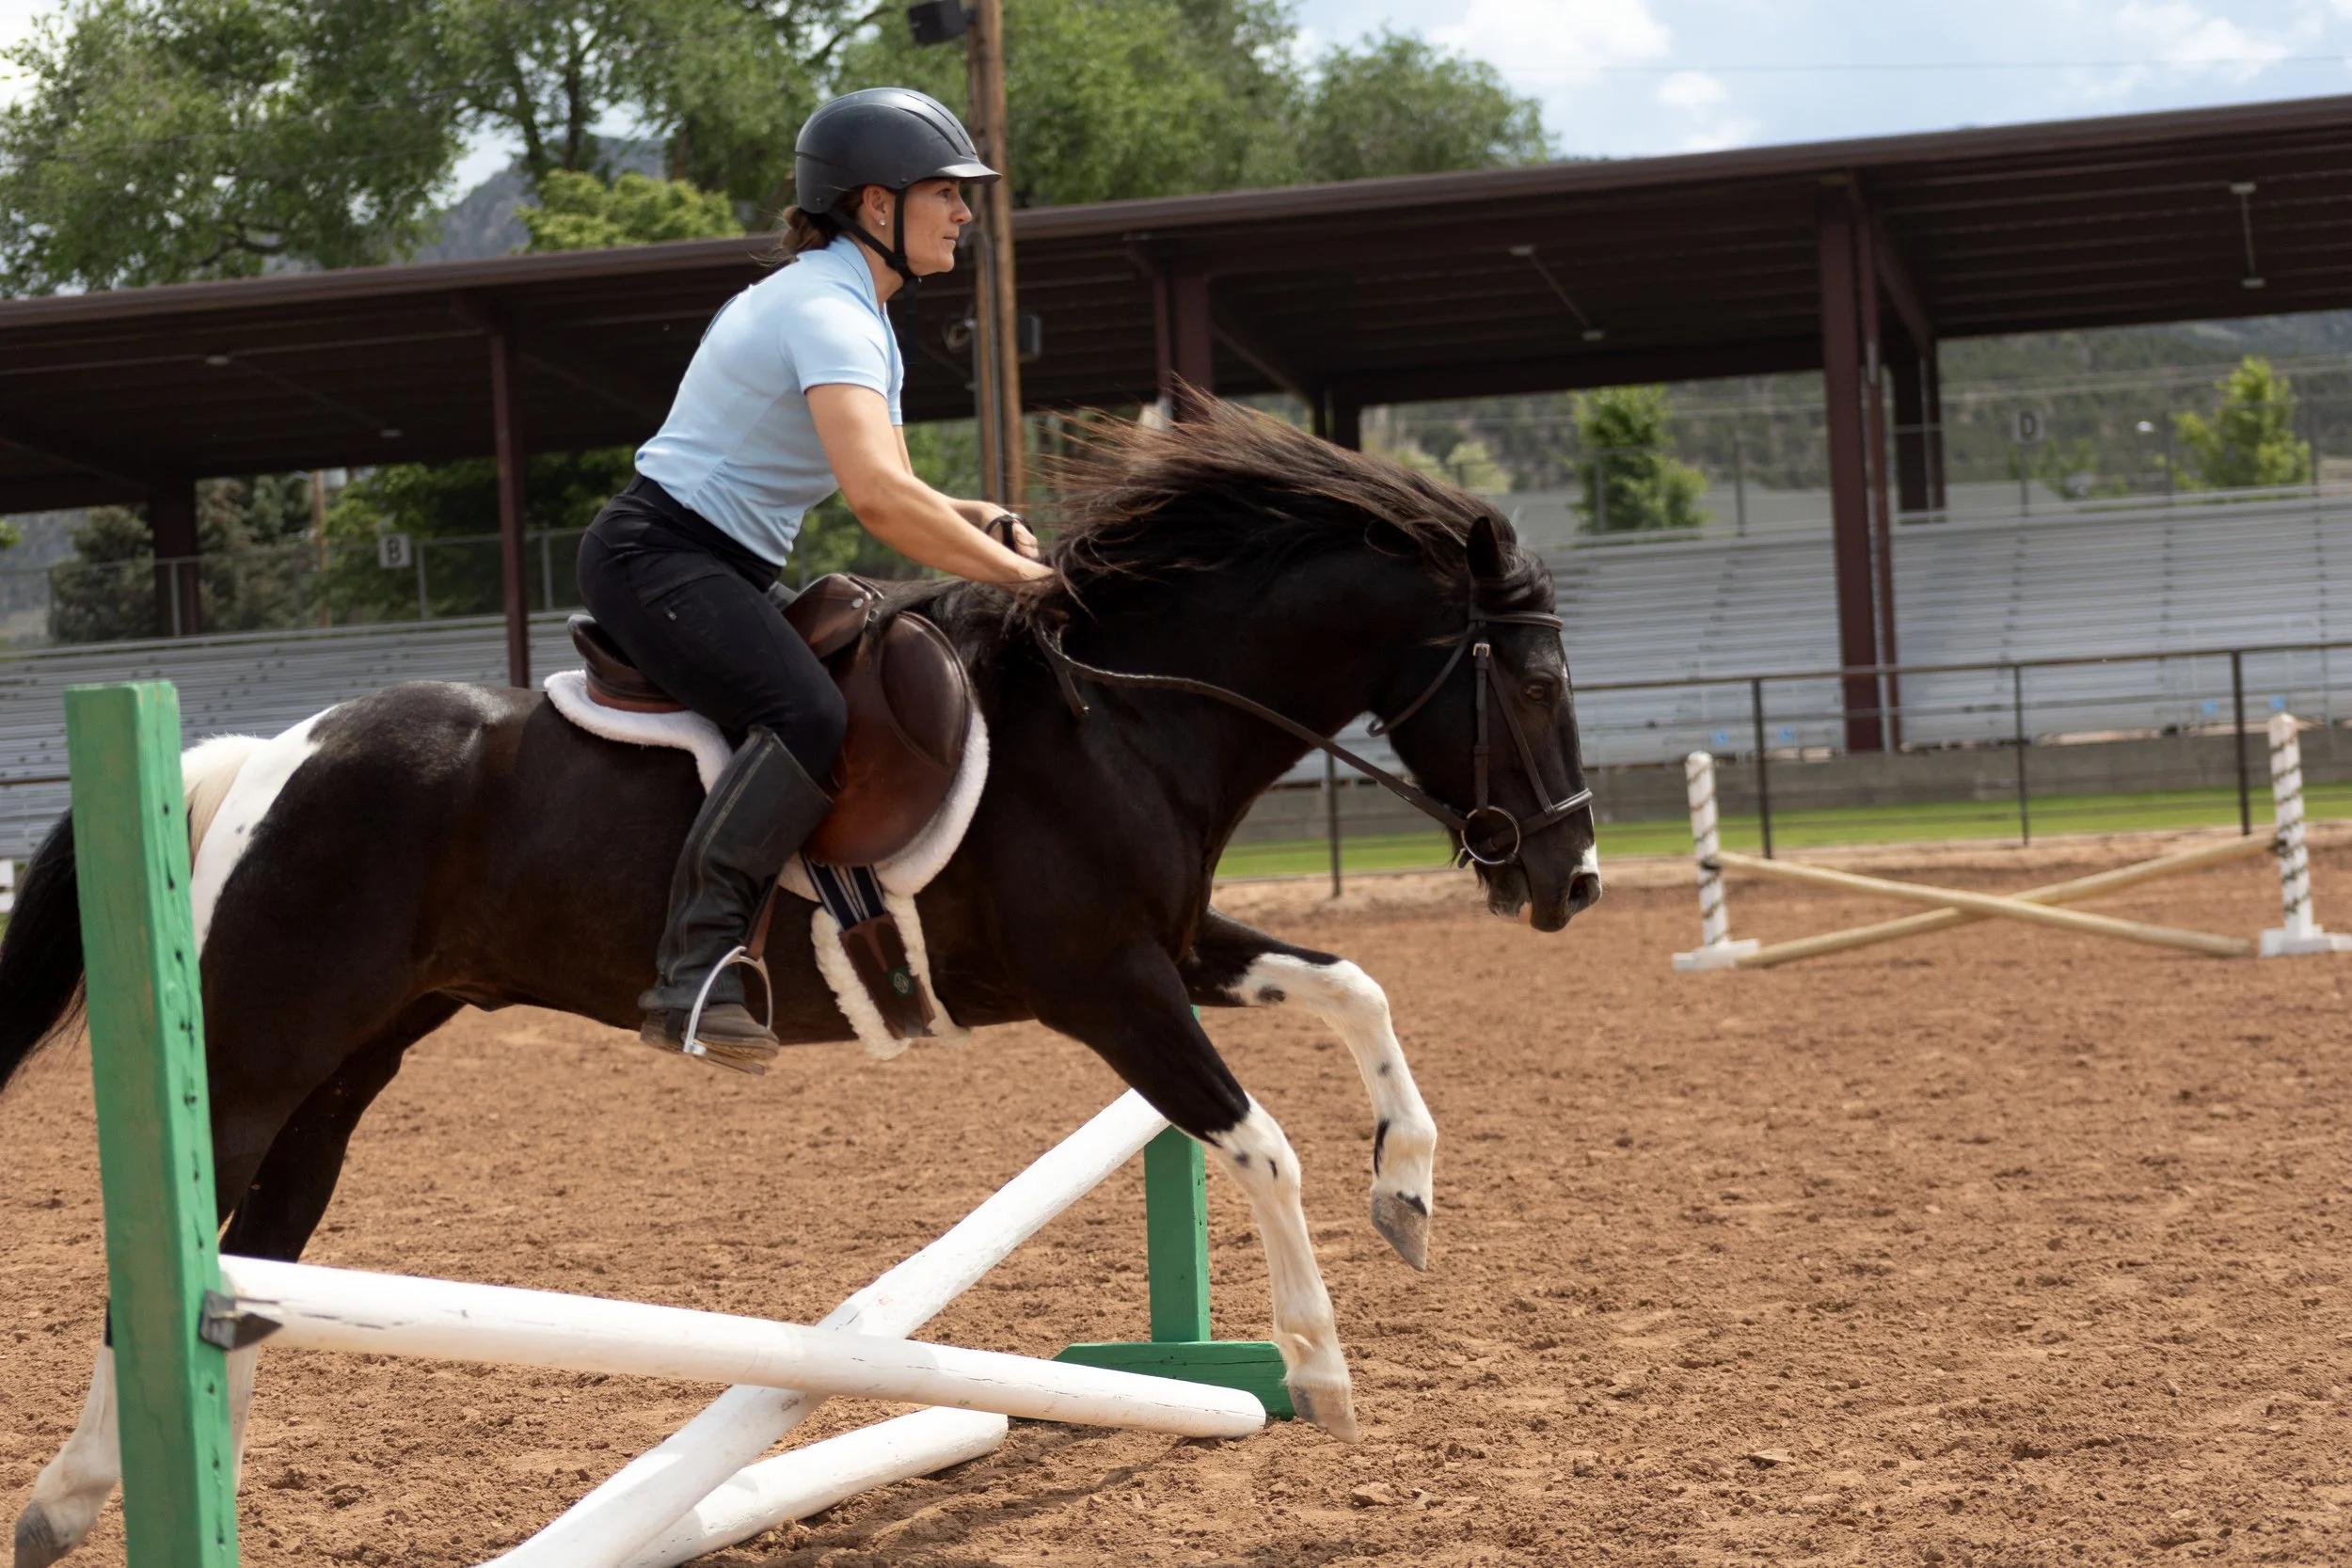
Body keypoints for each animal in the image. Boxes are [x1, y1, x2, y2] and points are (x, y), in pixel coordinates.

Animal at [1, 402, 1600, 1565]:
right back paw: (74, 1493)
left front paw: (1409, 1191)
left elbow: (1357, 985)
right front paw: (1320, 1366)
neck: (1122, 716)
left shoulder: (1183, 944)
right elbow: (1257, 1135)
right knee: (177, 1251)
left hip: (353, 1059)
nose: (1572, 879)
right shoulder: (1110, 983)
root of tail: (269, 747)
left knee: (258, 1258)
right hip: (260, 1046)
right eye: (1532, 683)